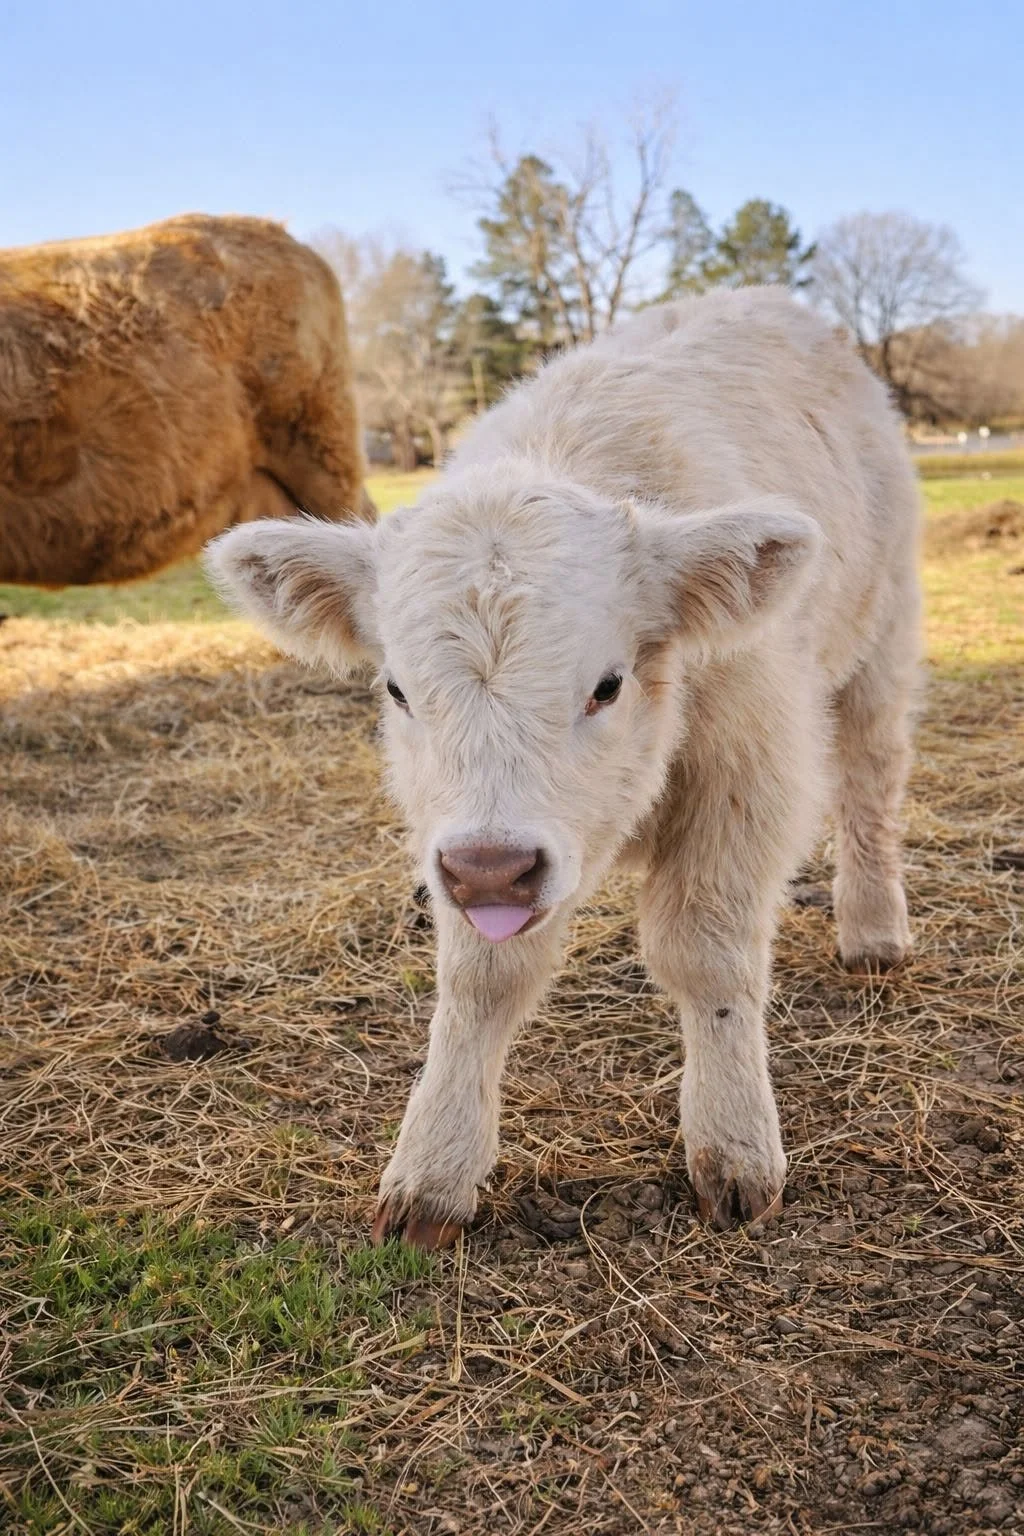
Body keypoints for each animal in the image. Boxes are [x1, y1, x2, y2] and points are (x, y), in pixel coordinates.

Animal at [206, 288, 921, 1250]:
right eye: (396, 689)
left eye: (607, 684)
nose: (492, 868)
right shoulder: (461, 846)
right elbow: (480, 983)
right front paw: (433, 1170)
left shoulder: (750, 771)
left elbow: (711, 959)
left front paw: (735, 1149)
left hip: (883, 640)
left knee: (872, 785)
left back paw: (874, 931)